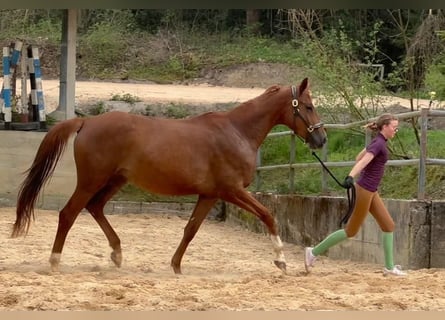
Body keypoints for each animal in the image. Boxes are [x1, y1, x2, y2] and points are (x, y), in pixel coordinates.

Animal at [11, 78, 326, 276]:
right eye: (308, 106)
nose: (321, 139)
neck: (236, 131)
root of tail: (86, 121)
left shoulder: (210, 195)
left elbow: (190, 229)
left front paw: (176, 266)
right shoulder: (232, 191)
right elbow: (268, 216)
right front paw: (281, 260)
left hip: (115, 181)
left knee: (95, 208)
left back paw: (117, 254)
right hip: (91, 181)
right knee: (69, 213)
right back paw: (55, 261)